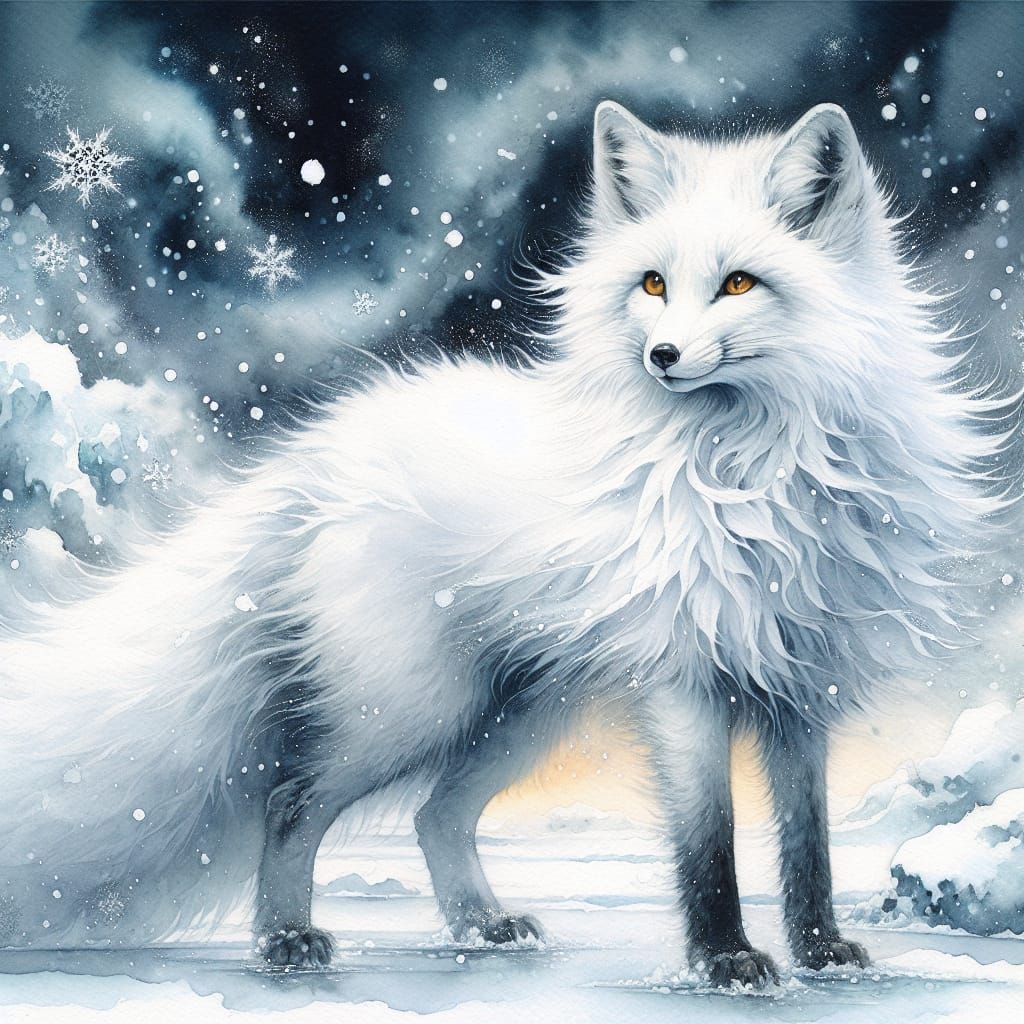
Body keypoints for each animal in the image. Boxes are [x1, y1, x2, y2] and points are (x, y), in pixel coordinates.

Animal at [0, 100, 1004, 988]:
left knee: (435, 817)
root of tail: (321, 452)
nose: (663, 357)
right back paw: (286, 939)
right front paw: (723, 961)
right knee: (291, 801)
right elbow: (708, 841)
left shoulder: (803, 690)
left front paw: (818, 950)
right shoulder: (685, 679)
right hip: (410, 710)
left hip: (518, 717)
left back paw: (480, 925)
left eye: (738, 283)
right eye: (651, 285)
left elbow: (809, 844)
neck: (752, 474)